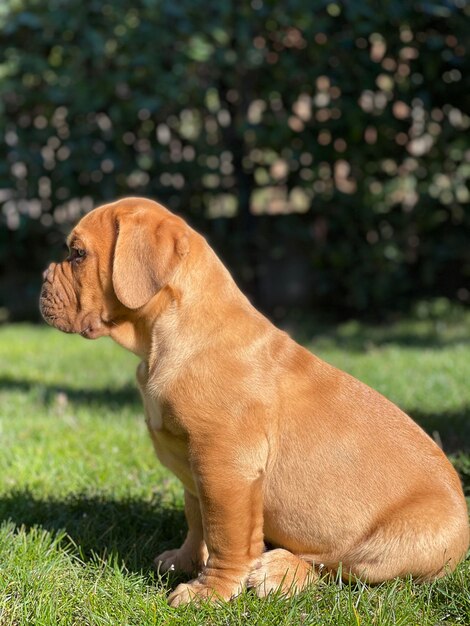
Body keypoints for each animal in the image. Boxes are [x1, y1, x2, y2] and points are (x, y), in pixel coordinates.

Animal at [41, 197, 470, 604]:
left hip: (397, 545)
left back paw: (279, 570)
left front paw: (210, 591)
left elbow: (225, 534)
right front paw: (185, 560)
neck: (165, 338)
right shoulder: (195, 468)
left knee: (338, 566)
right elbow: (197, 519)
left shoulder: (226, 467)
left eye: (77, 254)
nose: (42, 278)